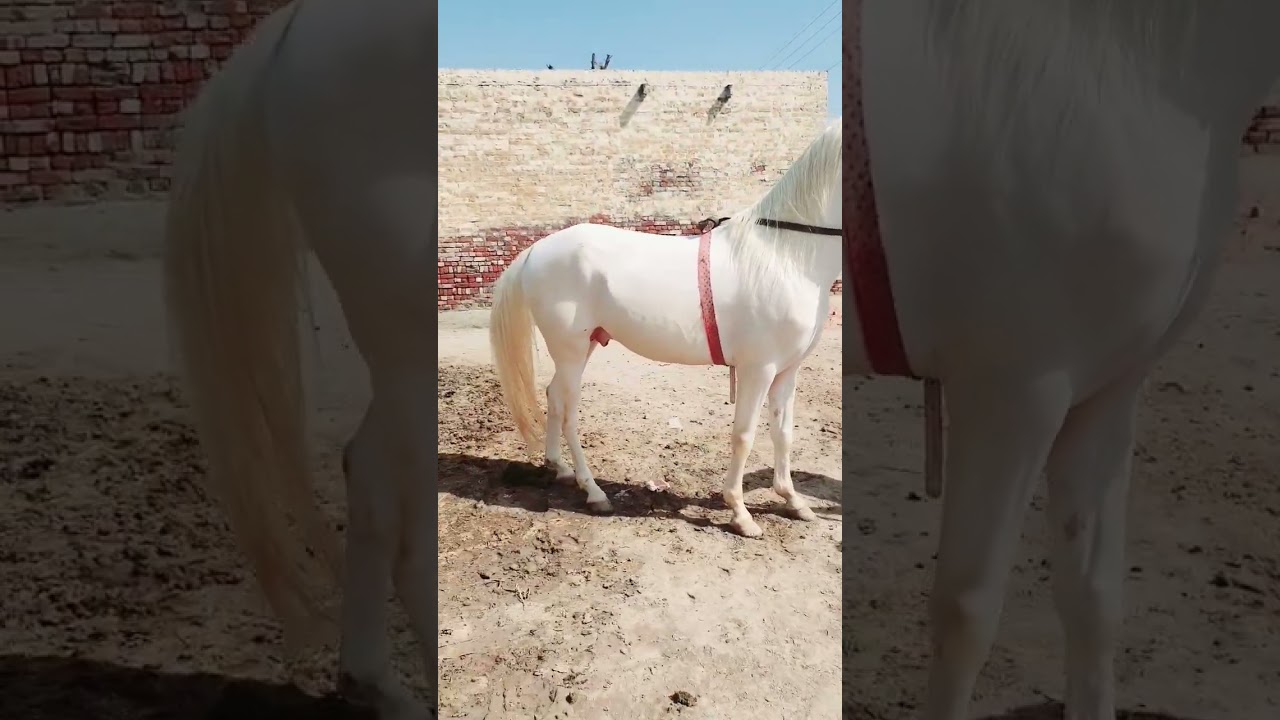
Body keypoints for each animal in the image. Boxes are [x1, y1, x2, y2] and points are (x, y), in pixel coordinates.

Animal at [487, 119, 843, 539]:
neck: (784, 254)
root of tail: (535, 250)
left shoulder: (786, 371)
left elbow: (783, 434)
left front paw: (794, 501)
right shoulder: (759, 369)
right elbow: (744, 435)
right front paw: (741, 514)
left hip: (581, 347)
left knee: (554, 397)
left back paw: (558, 468)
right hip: (571, 351)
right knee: (570, 412)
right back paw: (594, 492)